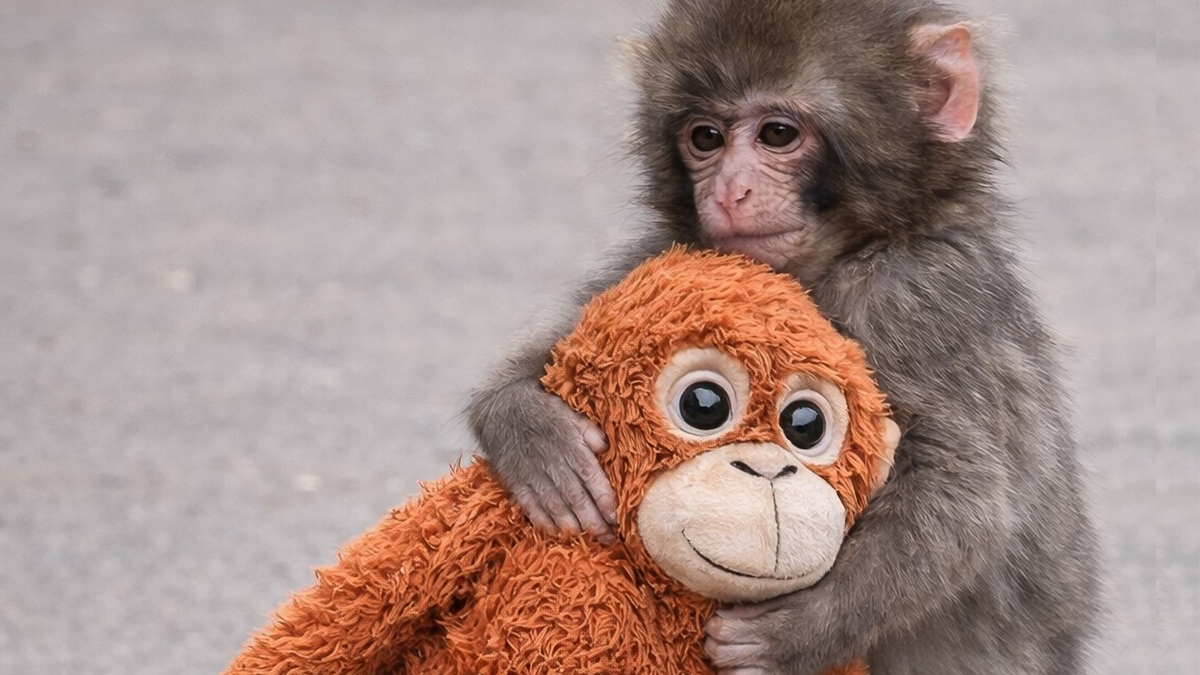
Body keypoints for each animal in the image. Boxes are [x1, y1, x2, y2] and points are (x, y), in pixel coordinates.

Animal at [466, 1, 1102, 674]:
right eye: (705, 138)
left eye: (777, 134)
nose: (728, 191)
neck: (840, 255)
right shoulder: (675, 256)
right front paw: (533, 434)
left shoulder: (915, 296)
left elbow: (964, 492)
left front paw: (793, 634)